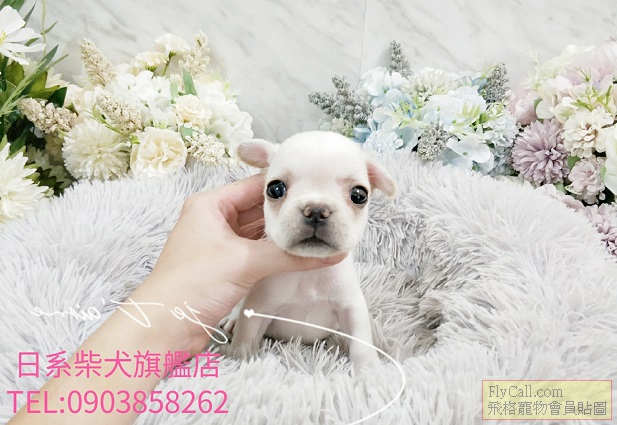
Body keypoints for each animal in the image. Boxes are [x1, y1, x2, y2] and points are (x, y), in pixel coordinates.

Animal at [220, 131, 396, 369]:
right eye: (275, 189)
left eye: (359, 195)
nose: (317, 211)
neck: (309, 272)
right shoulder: (258, 308)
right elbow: (245, 338)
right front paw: (240, 360)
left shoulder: (351, 307)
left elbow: (361, 343)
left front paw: (370, 370)